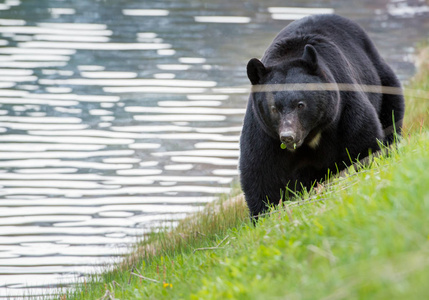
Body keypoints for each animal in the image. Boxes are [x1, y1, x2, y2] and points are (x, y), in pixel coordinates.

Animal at [239, 14, 402, 217]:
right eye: (274, 108)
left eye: (300, 104)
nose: (288, 136)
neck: (310, 136)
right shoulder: (264, 132)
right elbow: (261, 172)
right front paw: (265, 212)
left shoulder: (344, 110)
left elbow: (362, 143)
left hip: (382, 81)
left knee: (391, 116)